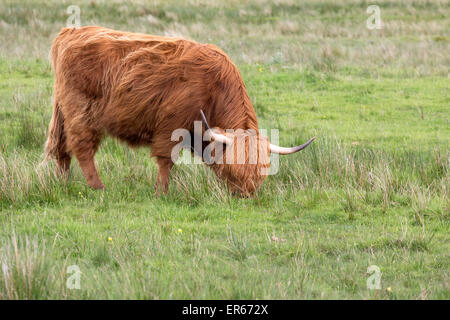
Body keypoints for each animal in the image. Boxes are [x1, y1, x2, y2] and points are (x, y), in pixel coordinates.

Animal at [44, 26, 312, 195]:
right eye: (232, 168)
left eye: (259, 174)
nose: (244, 195)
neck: (214, 88)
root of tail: (71, 32)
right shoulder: (171, 125)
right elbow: (166, 160)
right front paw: (161, 192)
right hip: (81, 112)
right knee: (82, 147)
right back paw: (98, 187)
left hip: (62, 111)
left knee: (61, 147)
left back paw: (62, 183)